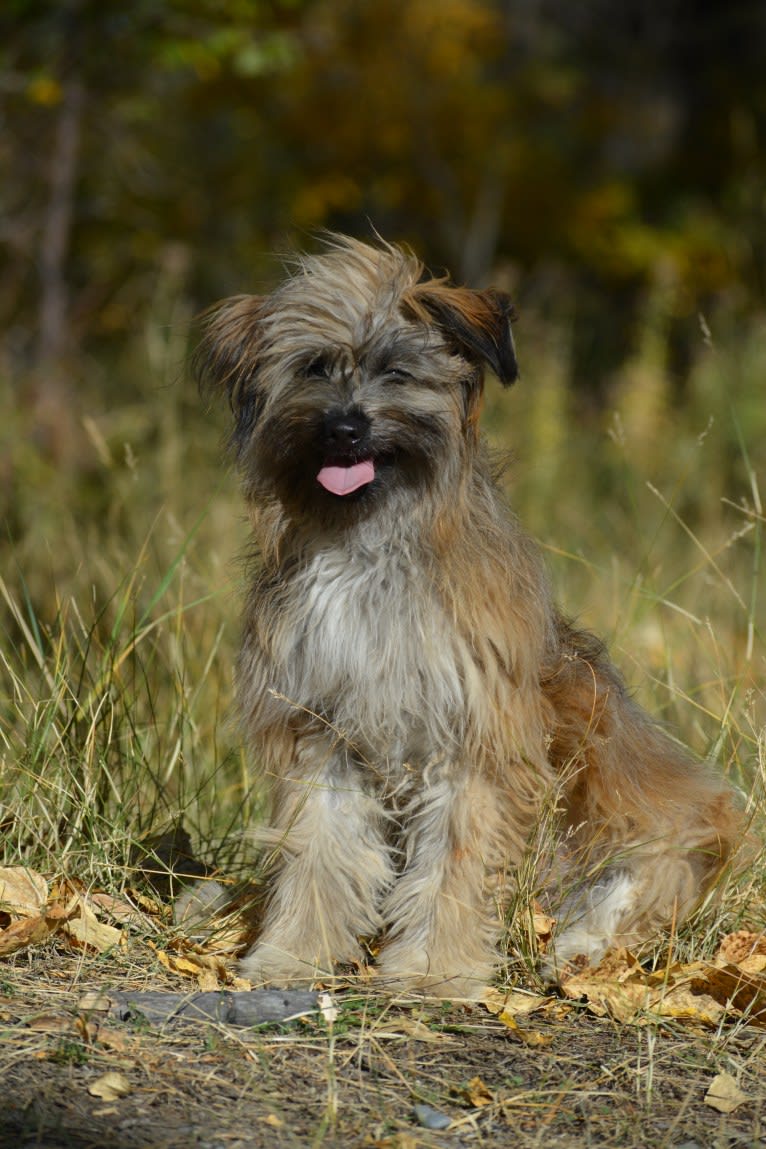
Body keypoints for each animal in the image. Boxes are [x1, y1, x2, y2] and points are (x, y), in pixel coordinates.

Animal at [188, 233, 744, 997]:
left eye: (397, 371)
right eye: (313, 367)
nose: (344, 427)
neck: (370, 545)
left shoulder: (473, 737)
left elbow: (453, 860)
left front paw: (432, 971)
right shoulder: (323, 727)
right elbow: (319, 852)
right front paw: (292, 955)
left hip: (658, 816)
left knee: (642, 884)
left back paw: (579, 949)